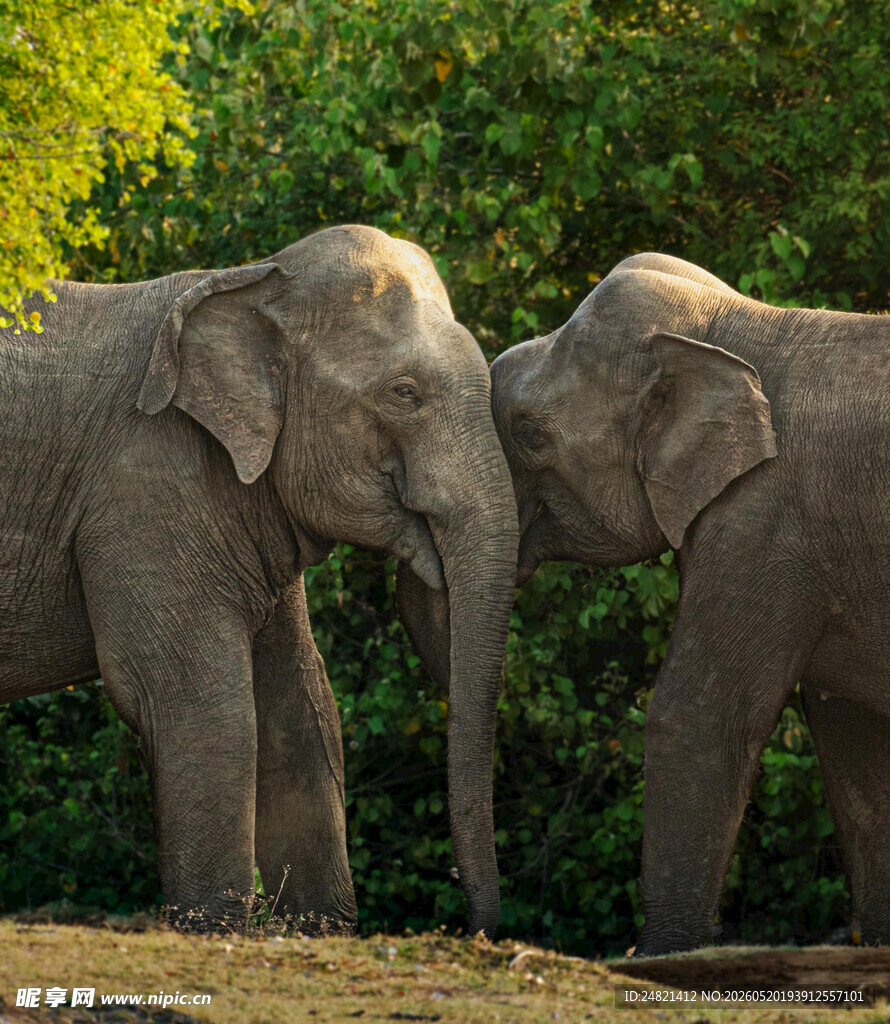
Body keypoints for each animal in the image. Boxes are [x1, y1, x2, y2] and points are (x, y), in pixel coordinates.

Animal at [0, 225, 518, 935]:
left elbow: (302, 711)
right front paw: (214, 928)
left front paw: (320, 931)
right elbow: (201, 705)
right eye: (404, 393)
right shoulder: (145, 489)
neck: (251, 279)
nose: (477, 929)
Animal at [489, 251, 890, 955]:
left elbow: (697, 715)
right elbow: (854, 743)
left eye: (530, 434)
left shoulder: (763, 522)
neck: (734, 327)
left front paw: (660, 956)